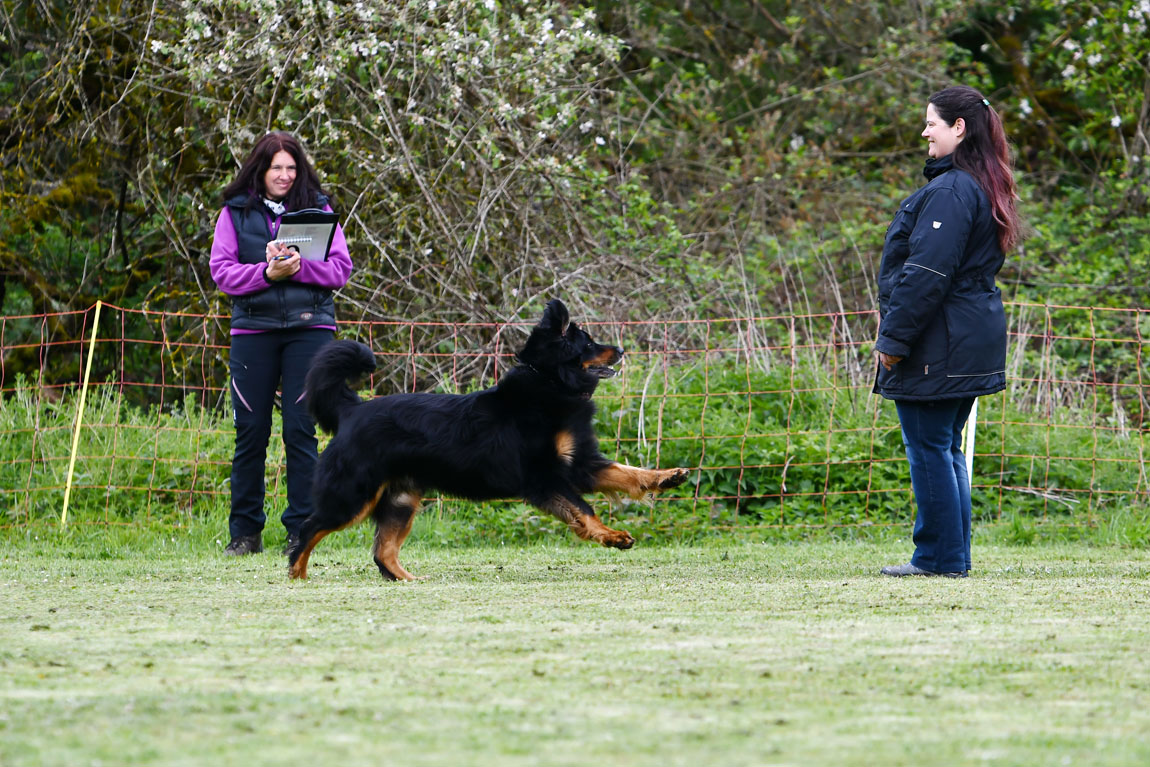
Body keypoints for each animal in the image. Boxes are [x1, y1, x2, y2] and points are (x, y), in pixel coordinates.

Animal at [289, 298, 690, 581]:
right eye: (589, 342)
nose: (621, 350)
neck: (550, 382)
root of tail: (352, 410)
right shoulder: (545, 478)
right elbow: (584, 510)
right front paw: (612, 536)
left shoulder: (581, 465)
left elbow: (628, 473)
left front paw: (667, 477)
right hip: (353, 495)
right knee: (307, 529)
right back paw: (298, 575)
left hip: (400, 499)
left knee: (382, 552)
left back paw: (409, 580)